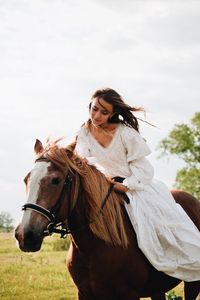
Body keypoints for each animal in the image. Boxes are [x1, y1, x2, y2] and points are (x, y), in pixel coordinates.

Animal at [14, 141, 200, 300]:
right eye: (26, 179)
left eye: (56, 180)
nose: (24, 235)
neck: (93, 247)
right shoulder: (84, 294)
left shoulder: (129, 294)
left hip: (193, 282)